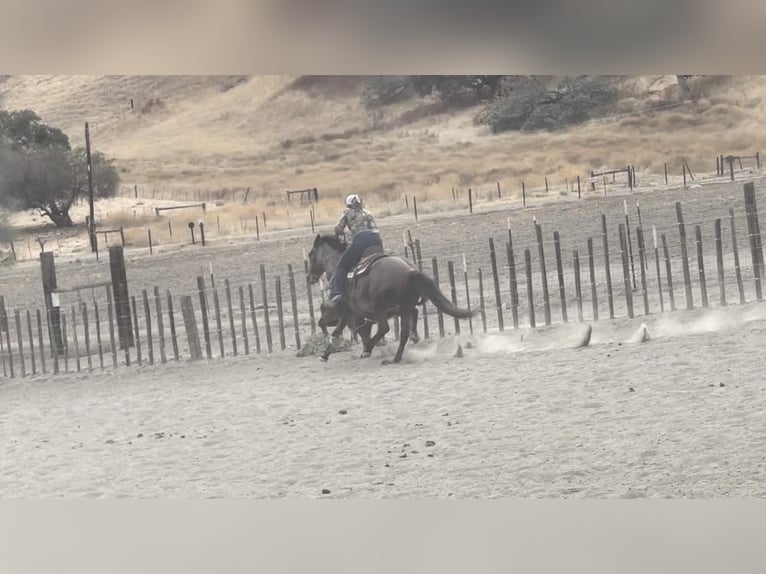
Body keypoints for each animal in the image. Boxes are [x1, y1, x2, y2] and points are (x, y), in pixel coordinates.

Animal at [306, 234, 474, 364]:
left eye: (311, 254)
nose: (309, 277)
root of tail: (410, 270)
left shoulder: (349, 313)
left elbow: (342, 331)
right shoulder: (357, 314)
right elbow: (348, 331)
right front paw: (325, 354)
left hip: (379, 307)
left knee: (384, 328)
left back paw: (371, 348)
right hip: (403, 308)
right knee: (404, 332)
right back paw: (396, 357)